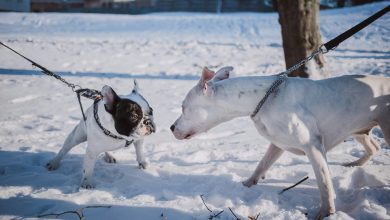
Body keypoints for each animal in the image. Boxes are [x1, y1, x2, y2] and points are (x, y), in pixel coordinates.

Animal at [171, 67, 390, 218]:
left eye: (183, 107)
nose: (171, 127)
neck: (262, 99)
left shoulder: (313, 147)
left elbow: (324, 183)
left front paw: (327, 213)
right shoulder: (276, 144)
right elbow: (262, 164)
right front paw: (247, 184)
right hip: (359, 129)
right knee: (374, 147)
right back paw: (354, 164)